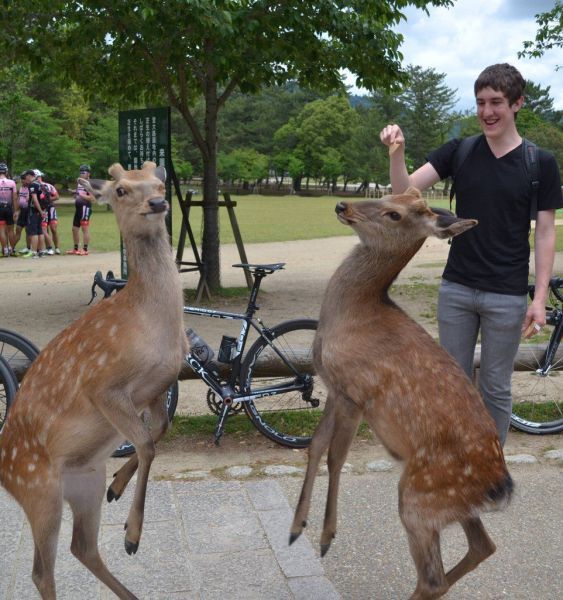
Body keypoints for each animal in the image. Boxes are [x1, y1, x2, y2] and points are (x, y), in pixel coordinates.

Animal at [0, 162, 189, 596]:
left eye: (159, 182)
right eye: (120, 190)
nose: (158, 203)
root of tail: (3, 473)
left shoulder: (159, 385)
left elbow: (159, 432)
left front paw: (118, 488)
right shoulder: (104, 387)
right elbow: (147, 443)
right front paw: (132, 534)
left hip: (84, 481)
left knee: (82, 547)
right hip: (37, 490)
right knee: (41, 570)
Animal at [290, 189, 516, 600]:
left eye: (394, 214)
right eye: (386, 192)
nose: (342, 206)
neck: (352, 315)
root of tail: (499, 488)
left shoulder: (357, 391)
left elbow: (335, 457)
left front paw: (327, 537)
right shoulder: (333, 385)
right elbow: (314, 446)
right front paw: (296, 528)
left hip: (418, 495)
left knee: (433, 577)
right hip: (451, 503)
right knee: (483, 546)